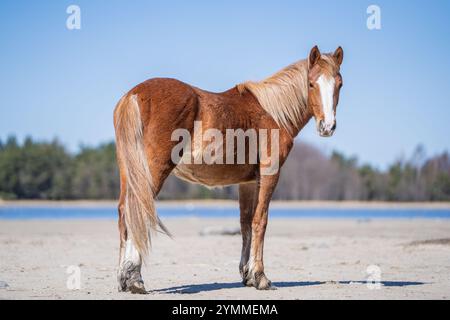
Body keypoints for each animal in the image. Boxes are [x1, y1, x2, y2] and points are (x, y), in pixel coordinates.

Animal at [113, 46, 344, 294]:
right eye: (311, 83)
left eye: (339, 84)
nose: (327, 127)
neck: (272, 112)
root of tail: (134, 95)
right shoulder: (269, 174)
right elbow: (260, 221)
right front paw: (261, 277)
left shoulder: (248, 182)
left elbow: (246, 224)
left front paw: (248, 275)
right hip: (152, 172)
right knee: (139, 209)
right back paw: (135, 279)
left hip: (129, 172)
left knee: (124, 212)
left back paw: (124, 278)